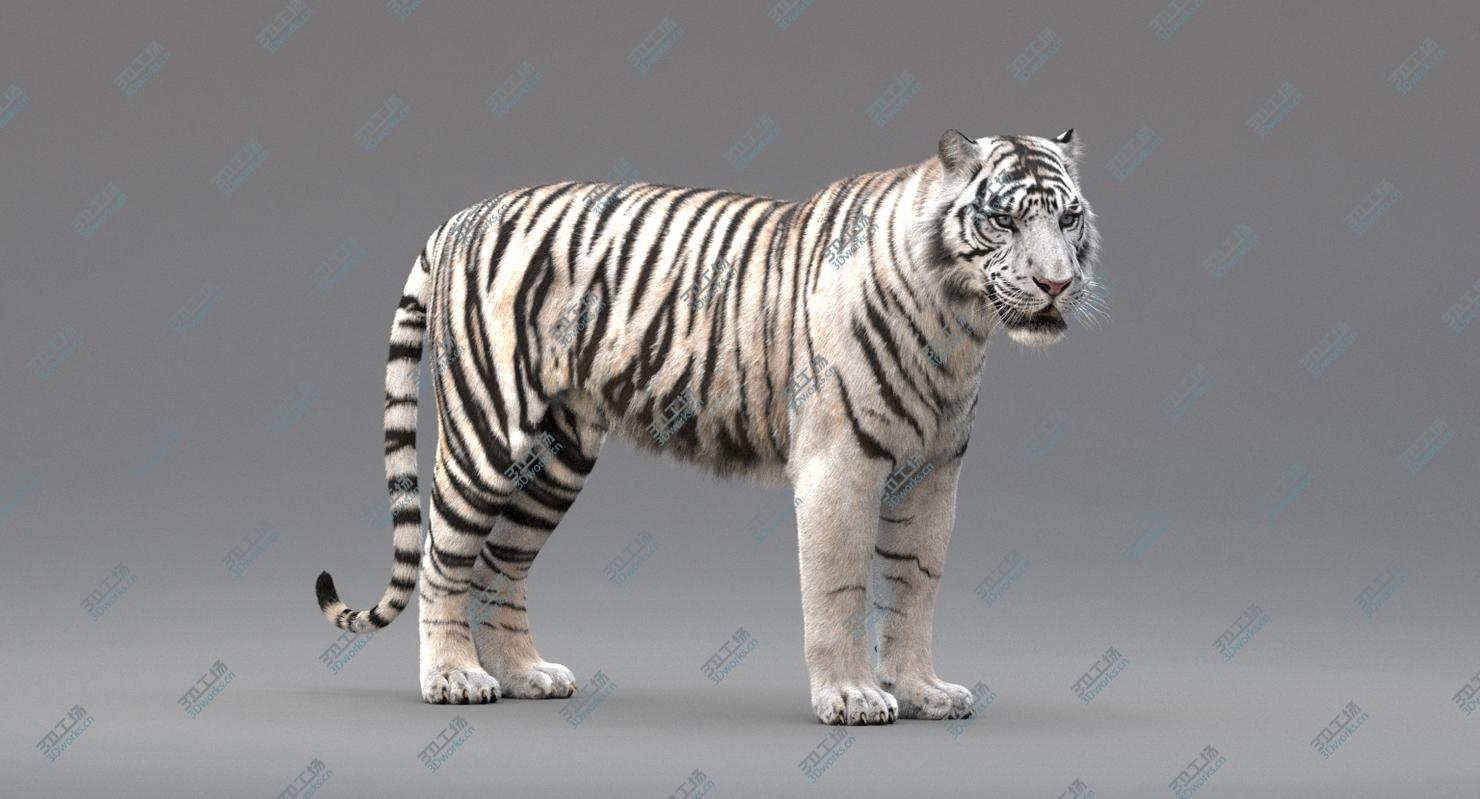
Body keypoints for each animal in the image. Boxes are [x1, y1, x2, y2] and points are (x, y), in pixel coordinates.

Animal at [315, 128, 1102, 725]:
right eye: (1004, 220)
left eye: (1068, 219)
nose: (1057, 283)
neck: (958, 323)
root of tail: (462, 216)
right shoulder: (840, 463)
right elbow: (840, 586)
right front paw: (850, 698)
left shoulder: (933, 472)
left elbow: (914, 586)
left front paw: (921, 692)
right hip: (487, 429)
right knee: (443, 556)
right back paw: (453, 678)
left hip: (556, 455)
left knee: (501, 562)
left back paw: (526, 675)